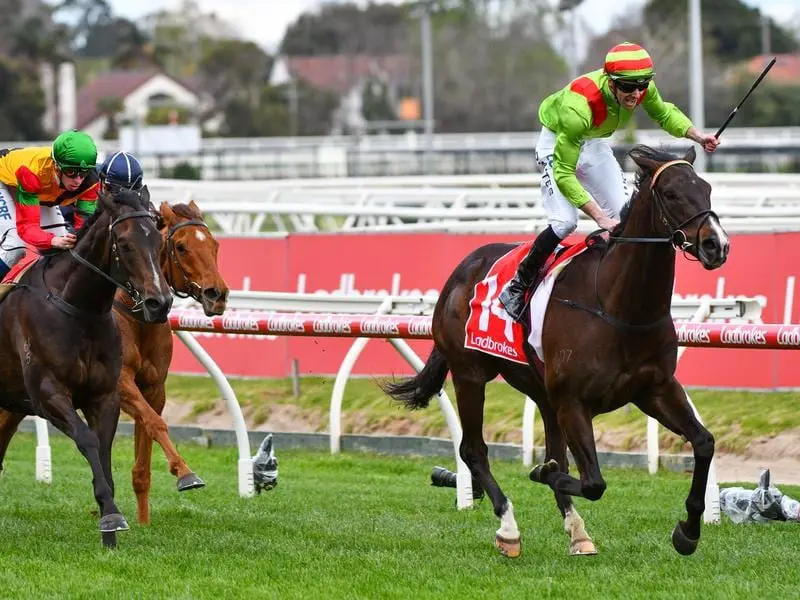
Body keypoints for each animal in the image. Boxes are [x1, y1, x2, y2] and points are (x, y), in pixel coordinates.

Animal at [0, 189, 172, 548]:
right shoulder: (48, 393)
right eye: (125, 244)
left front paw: (110, 527)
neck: (78, 307)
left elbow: (103, 450)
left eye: (157, 240)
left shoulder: (105, 395)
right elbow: (88, 440)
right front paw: (111, 515)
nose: (160, 303)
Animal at [112, 199, 227, 524]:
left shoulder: (153, 388)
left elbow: (146, 444)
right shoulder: (120, 382)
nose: (217, 294)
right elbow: (155, 422)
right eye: (181, 246)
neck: (139, 316)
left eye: (214, 244)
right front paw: (186, 473)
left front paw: (143, 524)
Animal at [382, 145, 732, 556]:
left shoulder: (655, 389)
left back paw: (578, 532)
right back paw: (509, 528)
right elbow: (591, 481)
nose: (716, 244)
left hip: (541, 392)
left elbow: (704, 443)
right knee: (473, 449)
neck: (617, 306)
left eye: (706, 188)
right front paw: (540, 474)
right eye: (672, 193)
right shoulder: (573, 402)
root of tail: (461, 271)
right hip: (471, 374)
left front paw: (688, 531)